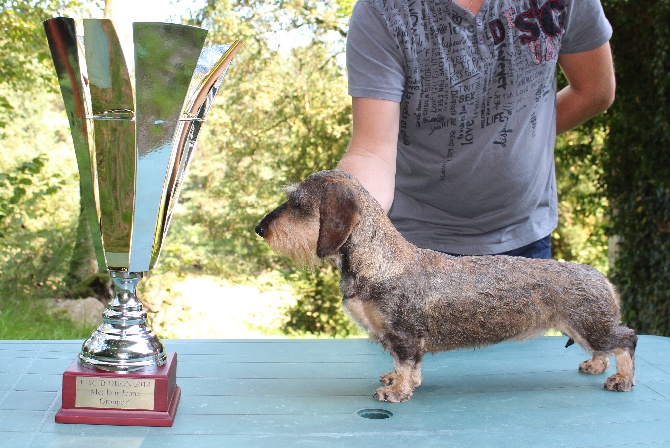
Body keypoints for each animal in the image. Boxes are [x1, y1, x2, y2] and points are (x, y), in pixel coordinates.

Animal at [255, 171, 636, 402]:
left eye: (298, 204)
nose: (260, 229)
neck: (381, 260)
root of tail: (599, 275)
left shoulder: (405, 337)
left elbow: (406, 366)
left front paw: (398, 391)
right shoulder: (399, 340)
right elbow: (404, 366)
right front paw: (397, 382)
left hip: (592, 328)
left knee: (626, 340)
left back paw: (622, 379)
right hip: (587, 329)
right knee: (609, 347)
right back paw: (597, 366)